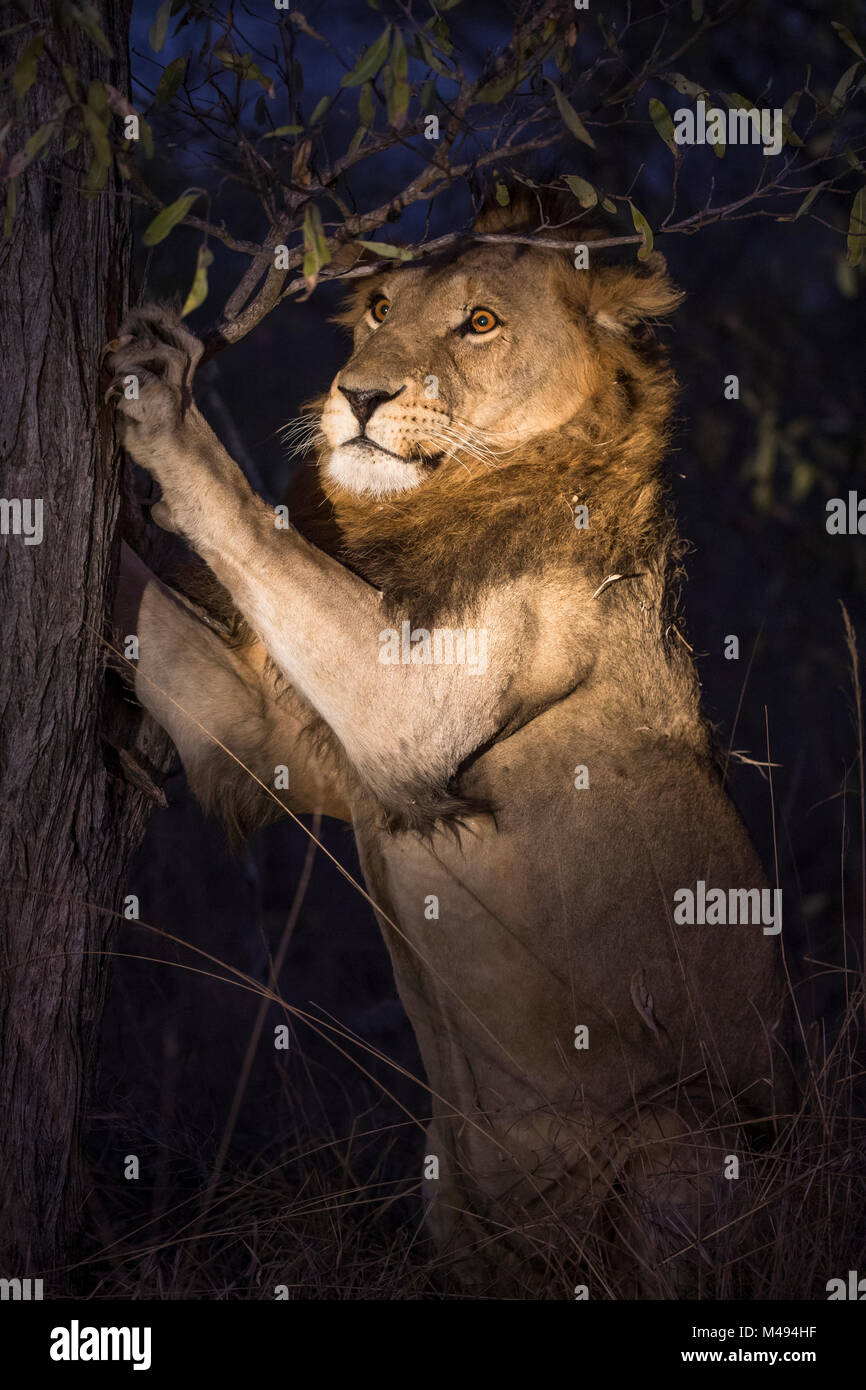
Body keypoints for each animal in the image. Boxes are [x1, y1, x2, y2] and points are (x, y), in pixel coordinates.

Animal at [104, 198, 789, 1301]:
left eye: (479, 323)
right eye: (380, 308)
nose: (357, 396)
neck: (431, 506)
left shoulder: (410, 711)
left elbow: (253, 526)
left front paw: (164, 398)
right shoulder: (267, 733)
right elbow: (168, 613)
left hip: (686, 1139)